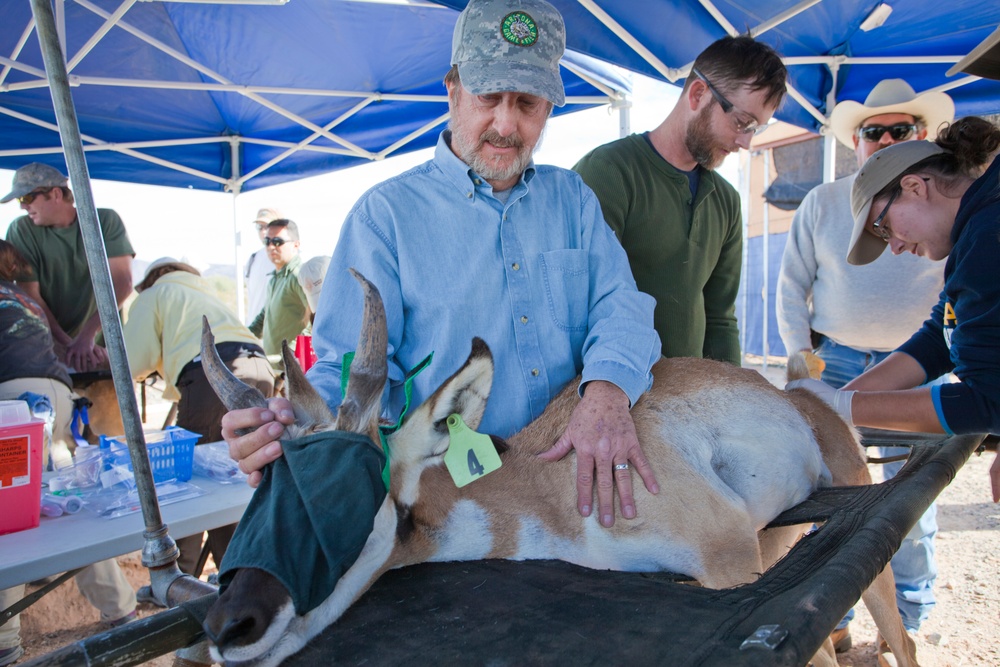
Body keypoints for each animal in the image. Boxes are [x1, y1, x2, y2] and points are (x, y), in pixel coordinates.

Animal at [199, 268, 916, 664]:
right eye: (261, 490)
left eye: (344, 494)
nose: (227, 627)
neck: (545, 486)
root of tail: (797, 395)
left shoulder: (731, 559)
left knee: (901, 642)